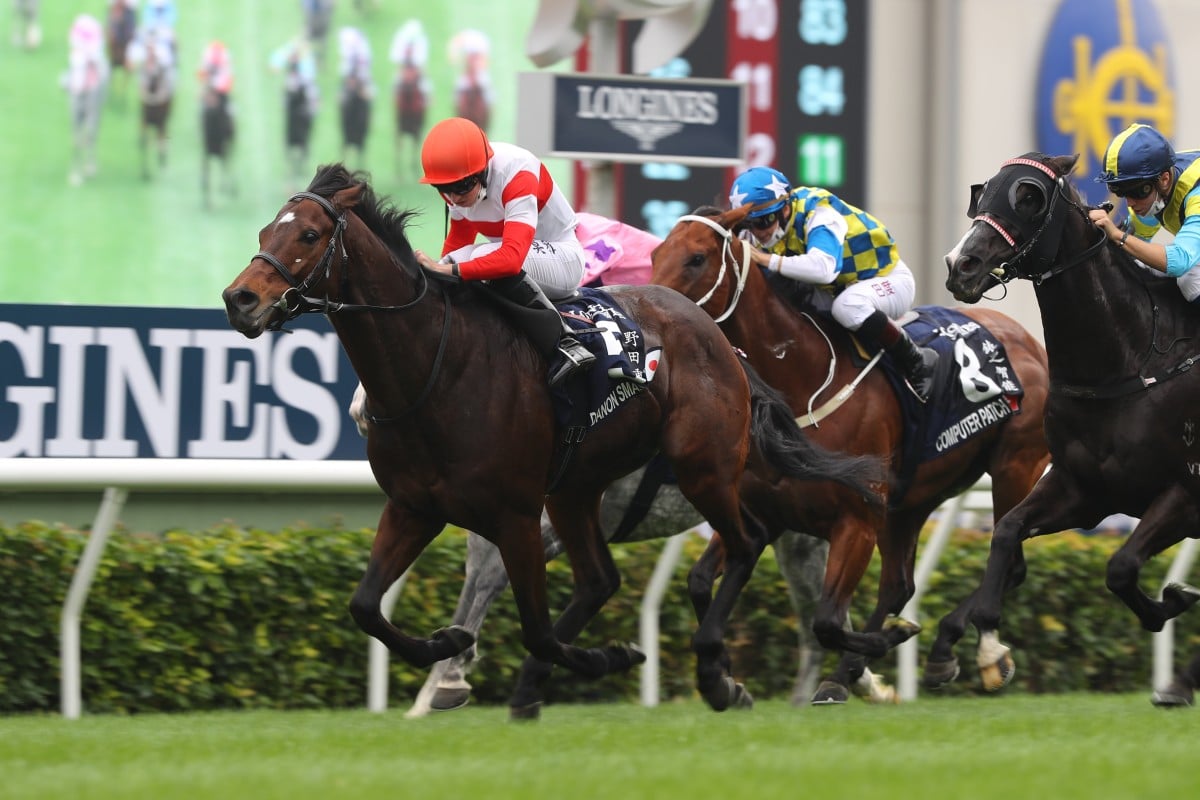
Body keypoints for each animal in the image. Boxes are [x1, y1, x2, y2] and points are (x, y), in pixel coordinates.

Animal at [223, 165, 883, 714]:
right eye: (265, 229)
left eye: (310, 235)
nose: (240, 299)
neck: (437, 368)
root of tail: (722, 342)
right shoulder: (416, 507)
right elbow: (366, 606)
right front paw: (447, 653)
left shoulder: (516, 515)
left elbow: (530, 624)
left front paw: (510, 667)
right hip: (578, 491)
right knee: (605, 579)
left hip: (706, 470)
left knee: (749, 547)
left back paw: (739, 673)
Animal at [648, 205, 1051, 700]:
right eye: (656, 252)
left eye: (697, 258)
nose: (654, 307)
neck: (804, 381)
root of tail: (1028, 340)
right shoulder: (764, 513)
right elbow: (701, 580)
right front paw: (723, 674)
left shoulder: (856, 521)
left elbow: (826, 620)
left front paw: (883, 648)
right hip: (912, 500)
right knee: (899, 585)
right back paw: (872, 668)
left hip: (1015, 465)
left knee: (1009, 559)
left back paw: (962, 651)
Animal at [940, 151, 1200, 705]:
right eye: (982, 191)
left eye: (1028, 196)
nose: (960, 265)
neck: (1131, 360)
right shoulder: (1085, 489)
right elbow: (1006, 533)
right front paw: (989, 649)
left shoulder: (1186, 493)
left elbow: (1120, 568)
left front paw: (1172, 599)